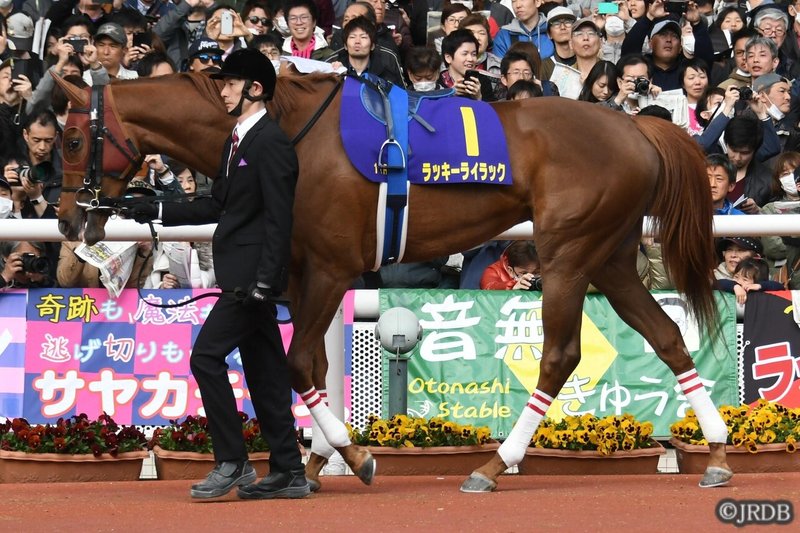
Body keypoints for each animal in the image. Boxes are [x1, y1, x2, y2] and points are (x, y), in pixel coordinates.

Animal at [54, 72, 732, 492]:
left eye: (71, 136)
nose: (64, 219)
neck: (290, 133)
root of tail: (637, 128)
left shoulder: (329, 267)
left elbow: (301, 364)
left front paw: (352, 455)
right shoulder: (296, 269)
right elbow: (303, 365)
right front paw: (310, 460)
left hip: (568, 254)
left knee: (561, 354)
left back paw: (495, 463)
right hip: (611, 257)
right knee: (668, 336)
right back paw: (719, 452)